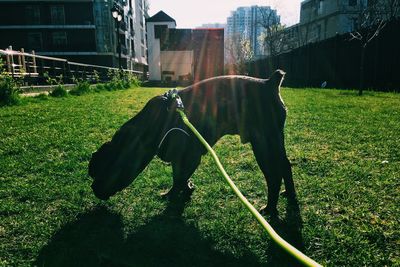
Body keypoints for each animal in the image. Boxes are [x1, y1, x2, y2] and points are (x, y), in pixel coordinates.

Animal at [90, 69, 296, 216]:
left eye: (99, 171)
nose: (93, 188)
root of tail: (269, 83)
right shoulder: (180, 159)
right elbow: (179, 177)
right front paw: (185, 190)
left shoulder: (190, 157)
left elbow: (179, 179)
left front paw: (175, 194)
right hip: (275, 142)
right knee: (286, 166)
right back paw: (290, 195)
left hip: (264, 146)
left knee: (274, 176)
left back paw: (270, 209)